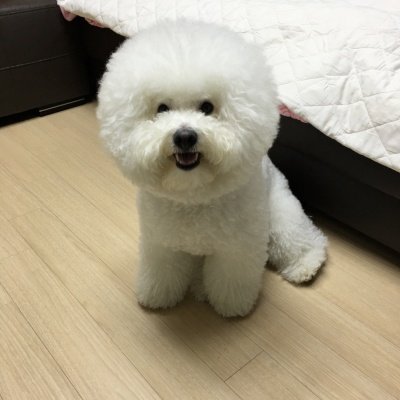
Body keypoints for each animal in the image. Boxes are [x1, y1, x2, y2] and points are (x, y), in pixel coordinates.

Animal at [97, 20, 327, 317]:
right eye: (162, 108)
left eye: (207, 107)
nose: (184, 137)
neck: (194, 196)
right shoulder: (161, 243)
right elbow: (162, 272)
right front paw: (158, 296)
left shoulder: (237, 248)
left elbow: (231, 281)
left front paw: (232, 306)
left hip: (281, 215)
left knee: (300, 240)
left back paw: (305, 265)